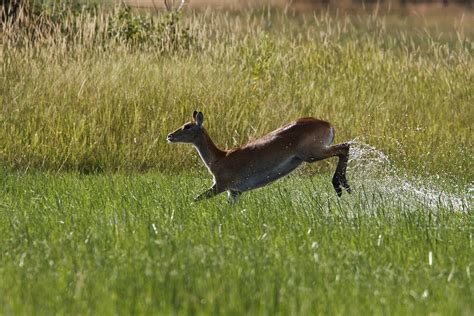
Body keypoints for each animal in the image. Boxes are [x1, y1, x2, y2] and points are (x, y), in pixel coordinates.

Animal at [168, 111, 352, 204]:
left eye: (187, 126)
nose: (170, 135)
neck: (219, 158)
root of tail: (328, 124)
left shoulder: (220, 186)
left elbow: (196, 199)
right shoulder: (234, 192)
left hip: (312, 154)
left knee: (344, 147)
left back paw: (340, 185)